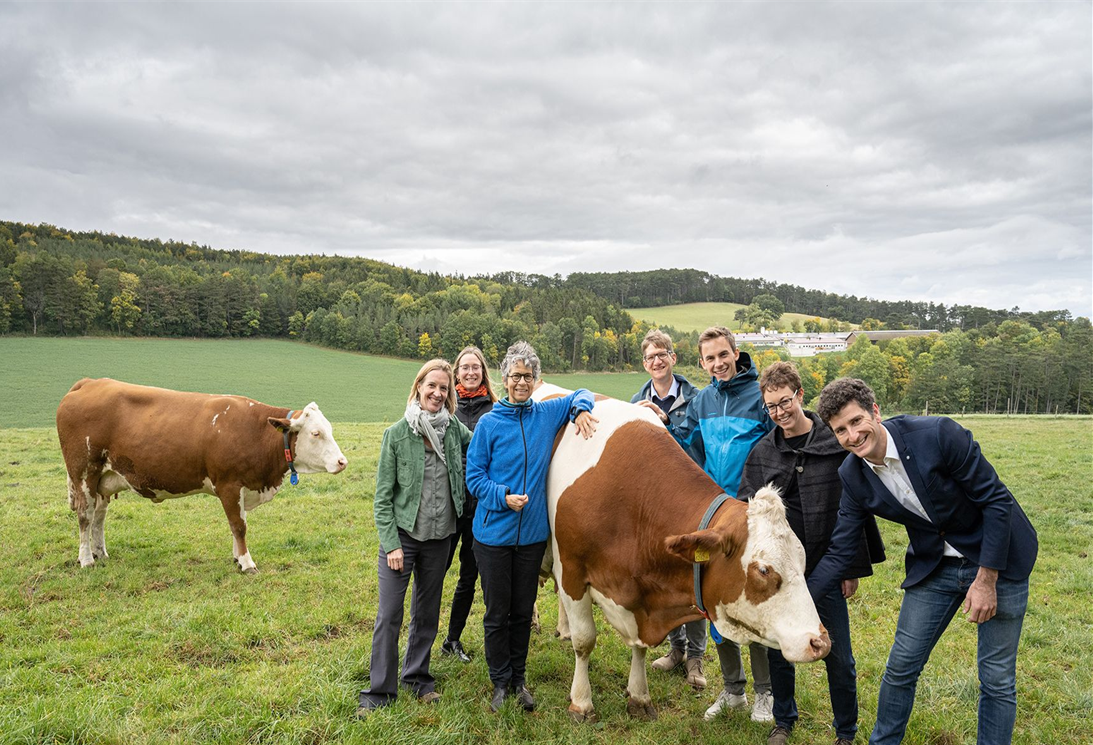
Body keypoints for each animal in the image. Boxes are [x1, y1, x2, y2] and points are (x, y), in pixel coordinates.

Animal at [55, 380, 345, 572]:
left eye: (329, 429)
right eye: (316, 433)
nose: (342, 462)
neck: (255, 431)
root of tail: (89, 383)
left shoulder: (241, 488)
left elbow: (239, 521)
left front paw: (237, 558)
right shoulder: (229, 484)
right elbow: (239, 525)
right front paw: (247, 563)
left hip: (103, 479)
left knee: (99, 516)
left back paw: (100, 553)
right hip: (83, 473)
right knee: (85, 516)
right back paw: (86, 559)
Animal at [542, 395, 830, 720]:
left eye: (802, 561)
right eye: (764, 570)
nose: (820, 642)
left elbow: (639, 648)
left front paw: (639, 696)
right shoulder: (572, 571)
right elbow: (585, 641)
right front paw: (581, 702)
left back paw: (563, 630)